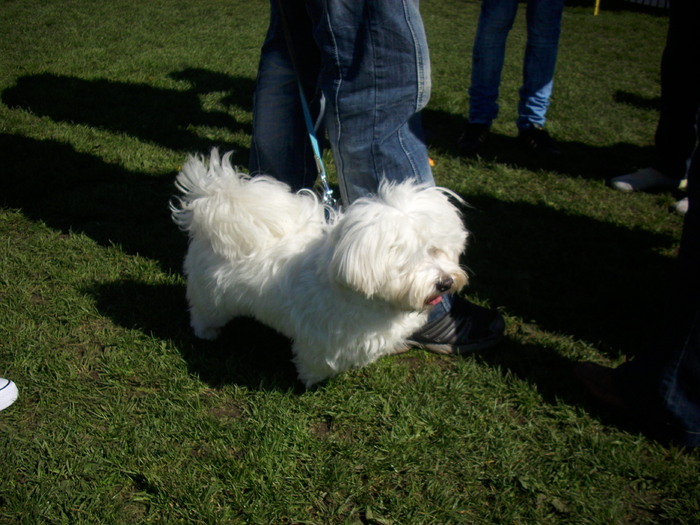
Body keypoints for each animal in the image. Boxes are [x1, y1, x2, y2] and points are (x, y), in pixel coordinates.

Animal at [170, 149, 468, 386]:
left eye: (436, 249)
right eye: (409, 260)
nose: (445, 282)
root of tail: (217, 202)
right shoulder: (320, 338)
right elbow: (316, 361)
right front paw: (310, 380)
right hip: (212, 295)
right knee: (202, 311)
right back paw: (205, 332)